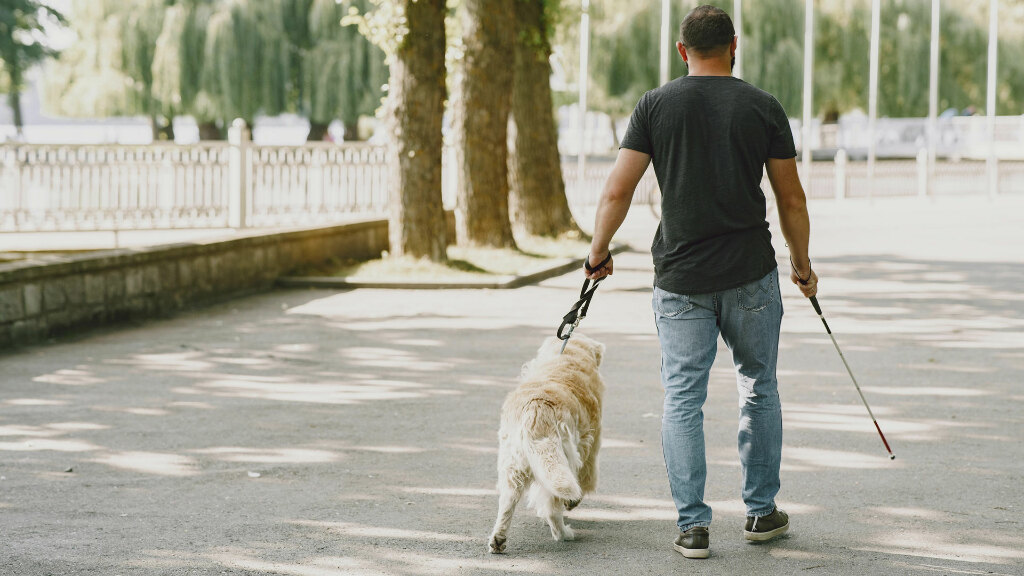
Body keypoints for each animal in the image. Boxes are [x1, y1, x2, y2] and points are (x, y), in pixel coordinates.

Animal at [485, 332, 602, 553]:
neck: (568, 357)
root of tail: (536, 409)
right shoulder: (589, 448)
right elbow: (584, 478)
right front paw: (573, 502)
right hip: (562, 458)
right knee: (553, 507)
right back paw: (564, 533)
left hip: (515, 465)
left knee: (507, 502)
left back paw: (498, 539)